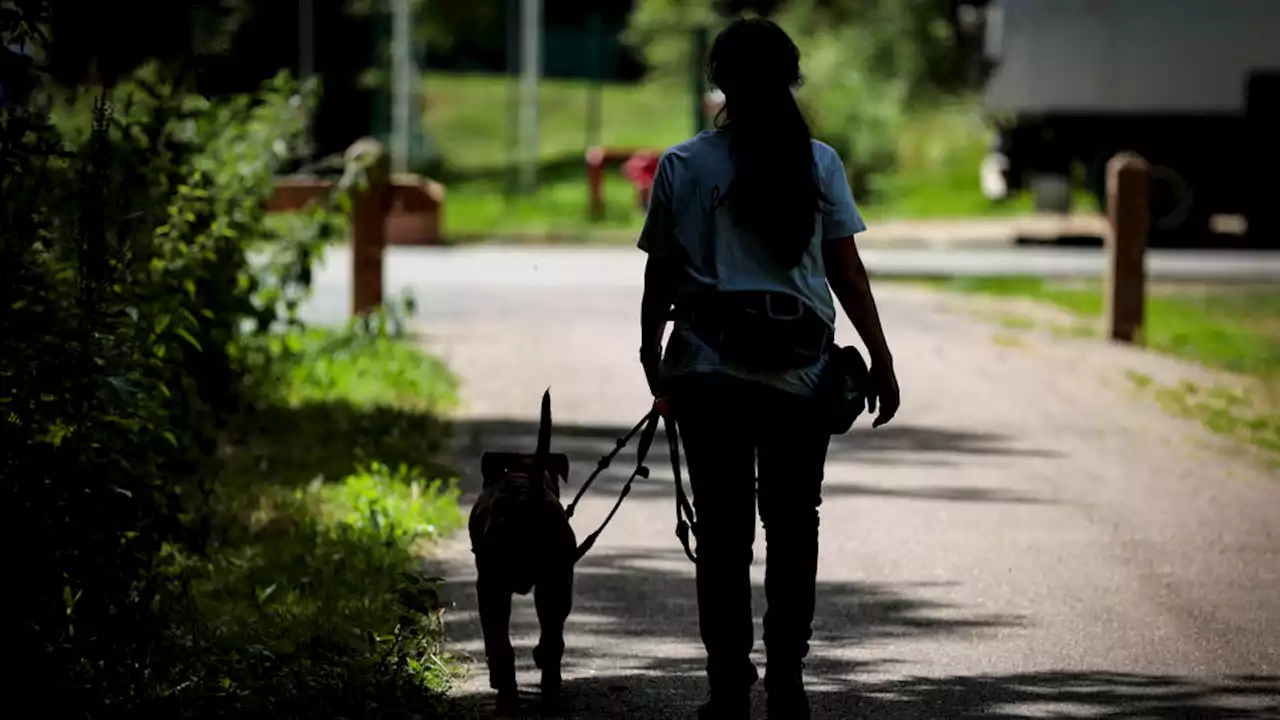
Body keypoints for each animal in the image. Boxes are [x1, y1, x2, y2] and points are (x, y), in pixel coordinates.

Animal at [471, 389, 576, 712]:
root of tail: (528, 499)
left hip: (494, 588)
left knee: (501, 647)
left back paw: (506, 698)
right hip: (556, 583)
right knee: (554, 639)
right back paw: (550, 692)